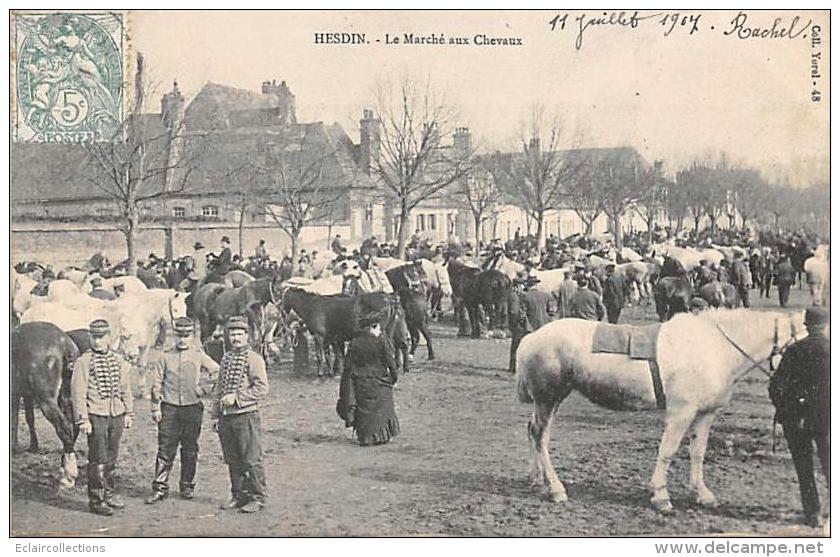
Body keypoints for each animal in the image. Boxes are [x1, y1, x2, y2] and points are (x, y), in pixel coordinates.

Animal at [11, 322, 82, 486]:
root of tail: (64, 343)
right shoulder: (22, 393)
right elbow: (22, 418)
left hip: (46, 398)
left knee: (64, 426)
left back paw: (69, 476)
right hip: (67, 395)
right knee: (73, 426)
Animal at [520, 308, 800, 512]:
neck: (713, 346)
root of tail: (531, 338)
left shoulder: (704, 414)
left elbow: (697, 452)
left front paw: (702, 495)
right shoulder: (681, 413)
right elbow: (668, 451)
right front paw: (660, 496)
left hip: (550, 400)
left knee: (533, 431)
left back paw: (537, 480)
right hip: (548, 398)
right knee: (541, 438)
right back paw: (556, 489)